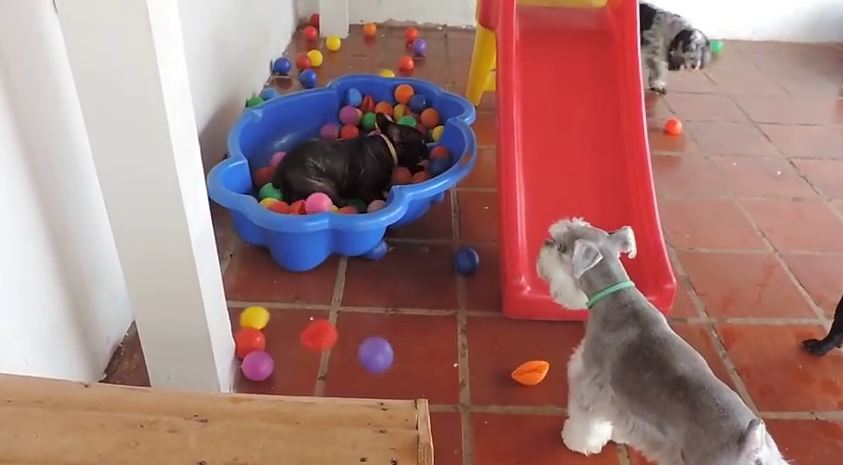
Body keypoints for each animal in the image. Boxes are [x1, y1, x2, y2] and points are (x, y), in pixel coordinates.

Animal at [536, 218, 788, 464]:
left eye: (561, 247)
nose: (546, 242)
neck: (616, 298)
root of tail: (750, 445)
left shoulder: (589, 383)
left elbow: (586, 422)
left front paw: (578, 443)